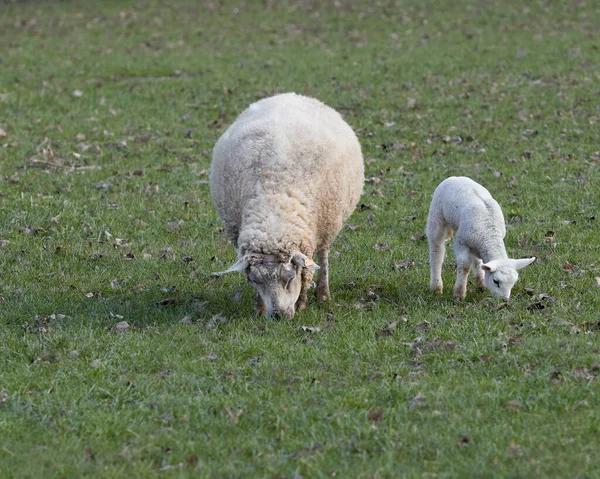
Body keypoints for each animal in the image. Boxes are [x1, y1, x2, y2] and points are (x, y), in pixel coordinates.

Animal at [209, 93, 364, 318]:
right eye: (255, 280)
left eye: (290, 277)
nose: (278, 316)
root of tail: (291, 95)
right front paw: (259, 308)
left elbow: (308, 272)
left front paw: (301, 304)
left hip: (327, 224)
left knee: (323, 256)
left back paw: (323, 293)